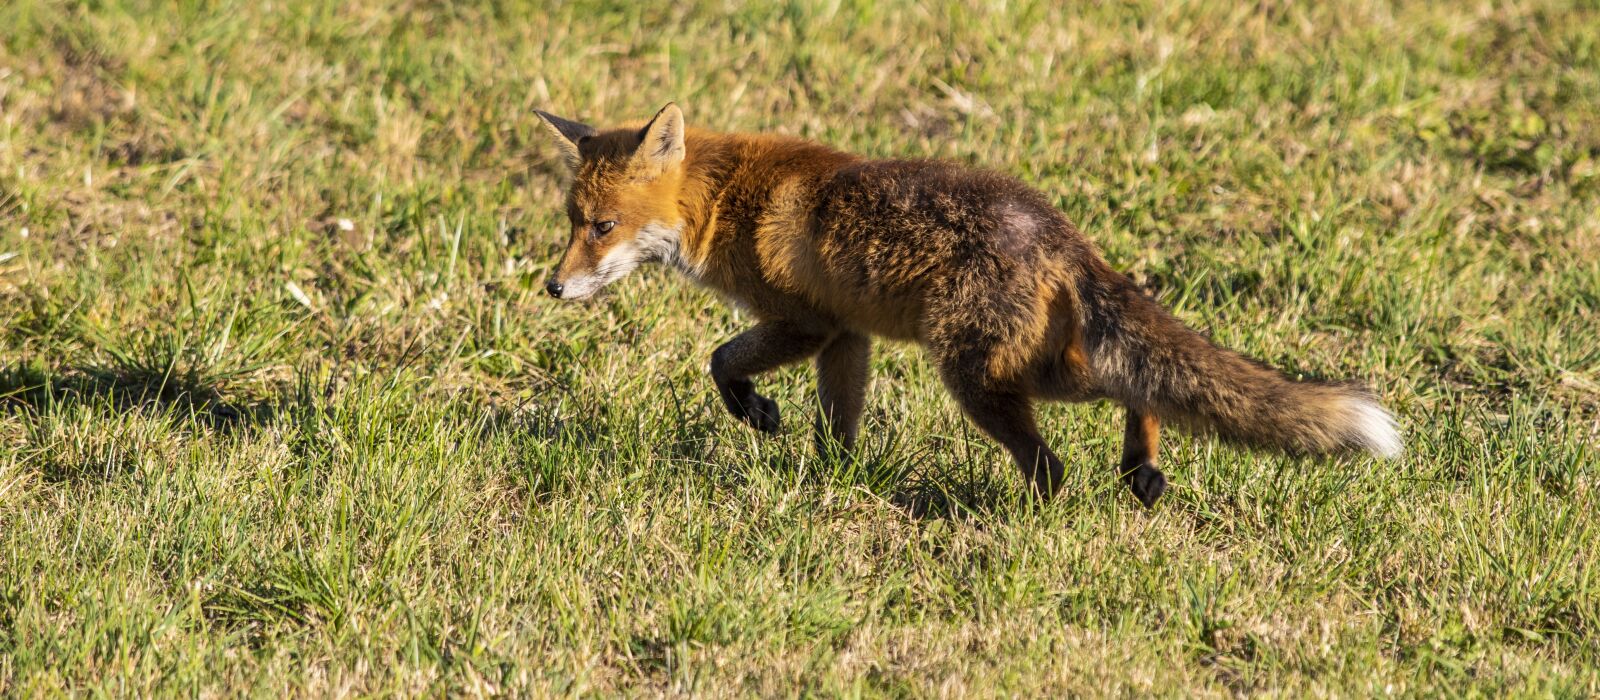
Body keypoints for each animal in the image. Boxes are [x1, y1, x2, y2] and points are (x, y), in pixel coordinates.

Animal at [534, 103, 1402, 507]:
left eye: (601, 227)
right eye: (571, 222)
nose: (551, 288)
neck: (724, 199)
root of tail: (1061, 234)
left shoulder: (804, 321)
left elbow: (719, 361)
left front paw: (756, 412)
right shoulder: (846, 335)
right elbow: (838, 423)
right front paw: (836, 478)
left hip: (976, 377)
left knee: (1058, 460)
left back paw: (1029, 519)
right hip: (1030, 367)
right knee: (1138, 383)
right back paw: (1140, 469)